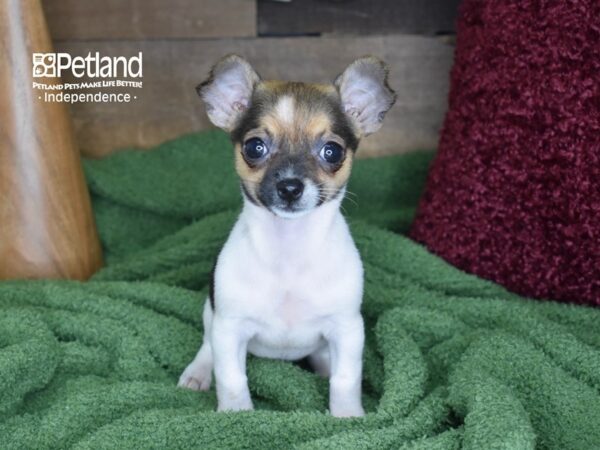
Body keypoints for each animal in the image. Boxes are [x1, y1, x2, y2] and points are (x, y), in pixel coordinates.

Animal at [178, 54, 394, 416]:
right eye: (255, 147)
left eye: (332, 152)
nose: (290, 187)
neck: (289, 249)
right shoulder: (229, 327)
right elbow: (231, 376)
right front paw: (236, 414)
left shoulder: (348, 329)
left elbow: (345, 378)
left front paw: (349, 415)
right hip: (211, 314)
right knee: (207, 346)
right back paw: (198, 372)